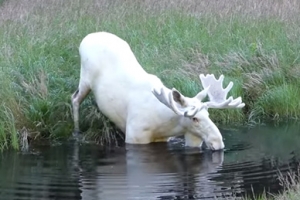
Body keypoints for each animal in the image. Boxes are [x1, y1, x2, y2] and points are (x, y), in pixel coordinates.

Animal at [71, 31, 245, 150]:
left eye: (208, 114)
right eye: (194, 118)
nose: (218, 142)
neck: (165, 125)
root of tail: (86, 38)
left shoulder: (161, 139)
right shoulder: (134, 136)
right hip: (85, 80)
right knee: (74, 98)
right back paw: (77, 131)